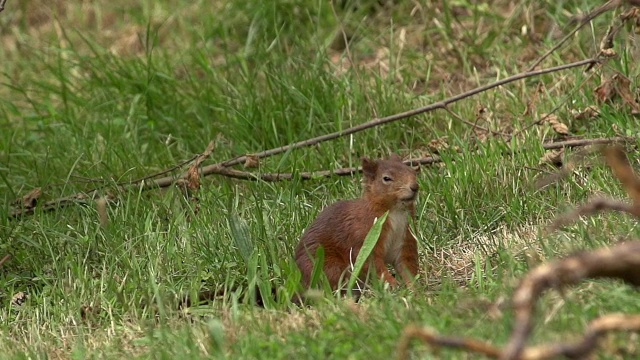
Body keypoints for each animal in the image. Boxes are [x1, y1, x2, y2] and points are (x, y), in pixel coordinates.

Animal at [296, 154, 420, 292]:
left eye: (413, 171)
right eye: (386, 178)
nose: (415, 187)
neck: (395, 212)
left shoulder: (404, 239)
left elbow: (407, 265)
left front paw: (414, 288)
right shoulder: (364, 238)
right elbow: (373, 264)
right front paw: (392, 283)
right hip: (326, 265)